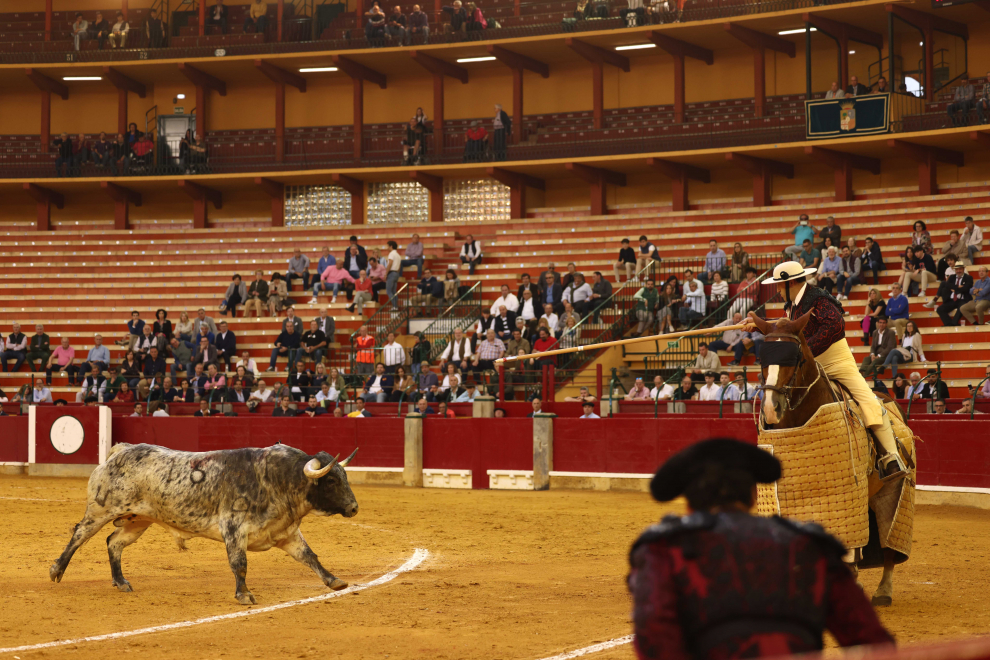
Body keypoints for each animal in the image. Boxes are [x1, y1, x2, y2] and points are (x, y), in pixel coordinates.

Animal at [50, 440, 360, 604]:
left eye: (345, 477)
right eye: (331, 480)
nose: (354, 507)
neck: (277, 480)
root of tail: (119, 452)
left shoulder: (285, 533)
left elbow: (309, 556)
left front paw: (334, 581)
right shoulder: (234, 529)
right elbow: (239, 563)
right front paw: (244, 595)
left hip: (139, 520)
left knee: (114, 542)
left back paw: (121, 582)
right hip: (101, 509)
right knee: (79, 535)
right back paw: (56, 570)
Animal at [756, 312, 920, 604]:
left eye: (796, 359)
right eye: (761, 359)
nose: (771, 409)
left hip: (894, 490)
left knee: (888, 541)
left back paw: (883, 591)